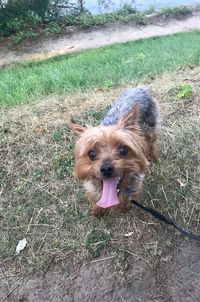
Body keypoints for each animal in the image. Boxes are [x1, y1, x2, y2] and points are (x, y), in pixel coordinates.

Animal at [68, 86, 159, 217]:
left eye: (123, 150)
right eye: (91, 154)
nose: (106, 168)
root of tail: (139, 87)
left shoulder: (135, 183)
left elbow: (127, 195)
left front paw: (123, 207)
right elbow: (95, 195)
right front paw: (98, 208)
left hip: (150, 124)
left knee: (151, 139)